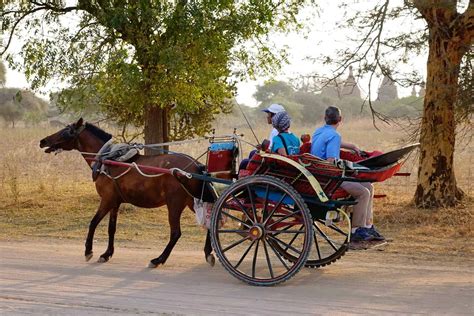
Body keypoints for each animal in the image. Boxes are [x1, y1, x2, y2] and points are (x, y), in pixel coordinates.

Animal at [39, 118, 216, 266]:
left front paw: (88, 251)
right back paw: (208, 253)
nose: (43, 141)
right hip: (192, 201)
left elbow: (93, 222)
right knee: (210, 222)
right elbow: (111, 228)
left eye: (65, 132)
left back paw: (158, 259)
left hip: (174, 204)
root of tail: (196, 166)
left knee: (176, 233)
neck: (107, 159)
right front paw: (106, 254)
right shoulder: (115, 202)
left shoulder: (107, 200)